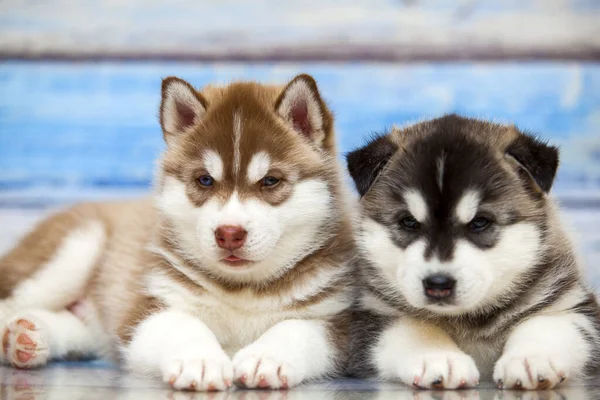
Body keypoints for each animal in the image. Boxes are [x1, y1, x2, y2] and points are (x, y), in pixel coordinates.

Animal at [0, 74, 356, 390]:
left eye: (270, 181)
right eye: (204, 180)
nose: (229, 233)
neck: (242, 290)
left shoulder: (343, 321)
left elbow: (297, 328)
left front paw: (266, 357)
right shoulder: (147, 306)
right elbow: (182, 324)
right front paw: (200, 361)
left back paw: (27, 336)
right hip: (74, 249)